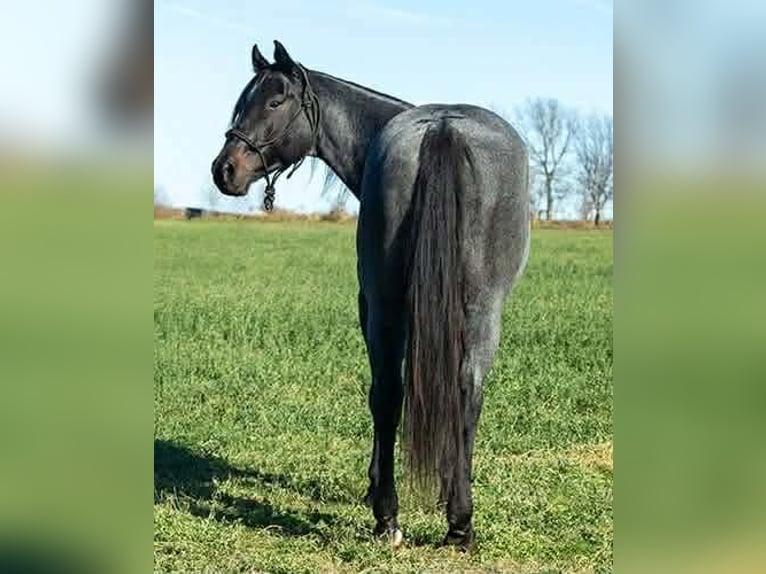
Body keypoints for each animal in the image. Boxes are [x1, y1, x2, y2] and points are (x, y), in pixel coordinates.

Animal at [212, 40, 530, 551]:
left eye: (274, 102)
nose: (224, 170)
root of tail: (442, 130)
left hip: (396, 308)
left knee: (398, 392)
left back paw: (407, 517)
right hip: (472, 311)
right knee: (450, 392)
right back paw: (447, 522)